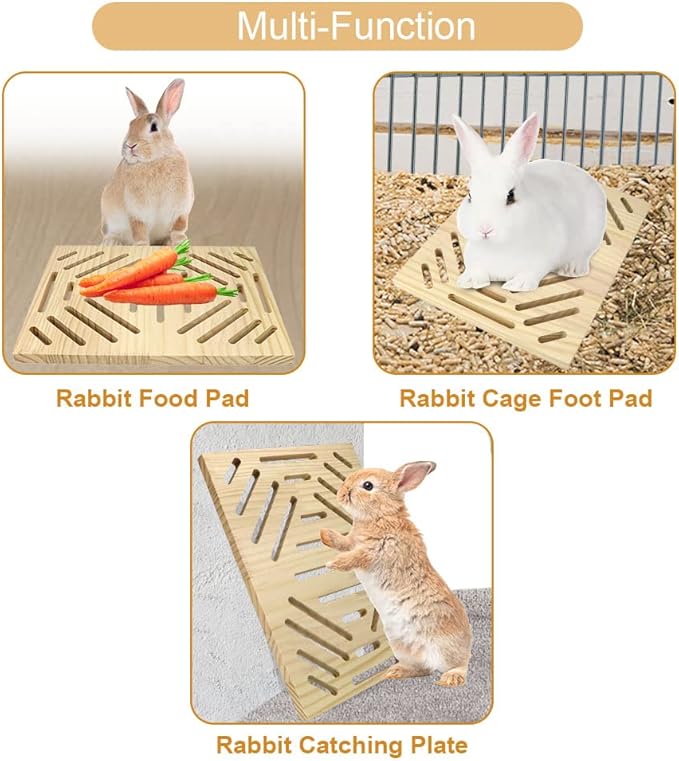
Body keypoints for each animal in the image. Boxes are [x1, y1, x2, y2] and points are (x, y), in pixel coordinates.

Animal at [101, 78, 194, 246]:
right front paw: (142, 246)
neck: (155, 159)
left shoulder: (180, 209)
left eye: (154, 127)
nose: (130, 145)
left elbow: (178, 227)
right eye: (131, 125)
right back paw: (113, 243)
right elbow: (140, 230)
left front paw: (180, 243)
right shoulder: (137, 212)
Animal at [320, 461, 472, 687]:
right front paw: (325, 535)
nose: (341, 492)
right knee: (423, 669)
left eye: (367, 485)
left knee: (460, 664)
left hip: (447, 646)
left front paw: (333, 563)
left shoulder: (377, 550)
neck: (381, 515)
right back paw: (395, 672)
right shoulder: (353, 541)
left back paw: (450, 678)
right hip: (401, 646)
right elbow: (343, 542)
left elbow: (355, 557)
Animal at [451, 112, 607, 292]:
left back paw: (572, 269)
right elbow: (475, 269)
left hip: (592, 235)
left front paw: (519, 285)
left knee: (584, 254)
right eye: (470, 196)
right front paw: (469, 281)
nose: (485, 229)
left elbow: (532, 272)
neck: (498, 246)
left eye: (511, 196)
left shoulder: (542, 257)